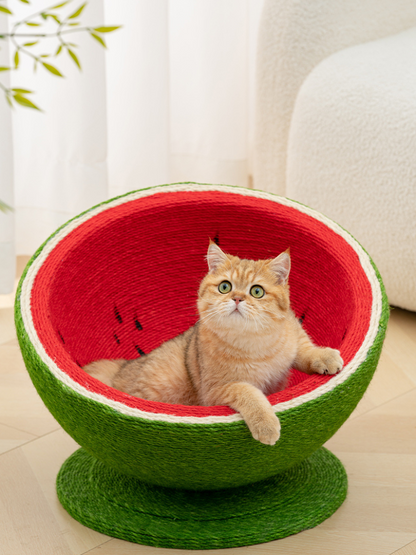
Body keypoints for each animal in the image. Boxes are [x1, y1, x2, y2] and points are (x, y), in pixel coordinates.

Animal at [83, 243, 342, 448]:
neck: (256, 343)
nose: (237, 298)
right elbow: (248, 392)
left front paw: (326, 357)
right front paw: (266, 423)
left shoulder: (293, 336)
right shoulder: (217, 391)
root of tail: (121, 369)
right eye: (225, 287)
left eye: (257, 291)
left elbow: (306, 350)